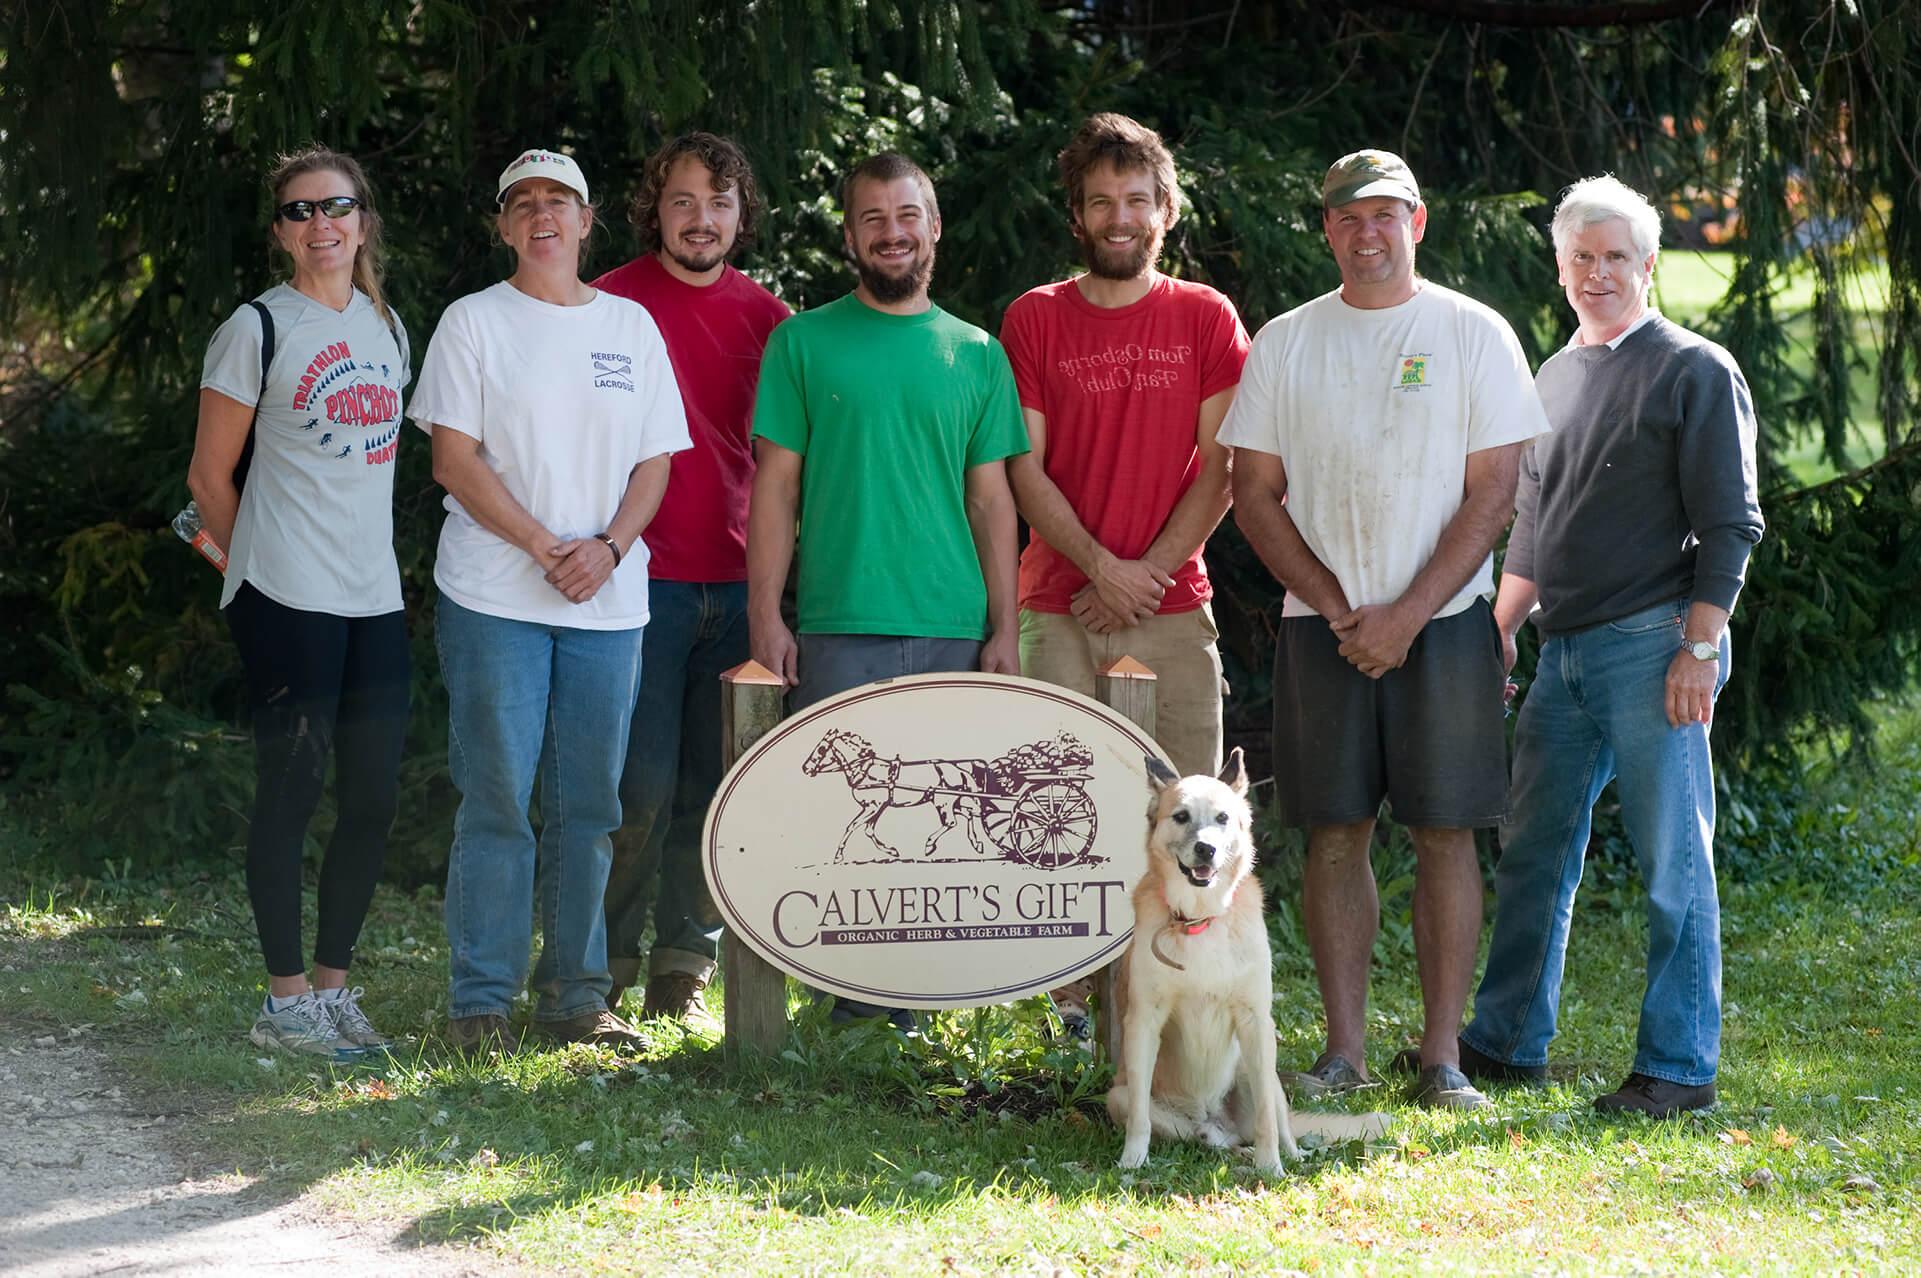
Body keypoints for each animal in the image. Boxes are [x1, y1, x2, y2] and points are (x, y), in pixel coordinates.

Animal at [1114, 749, 1383, 1176]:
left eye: (1222, 818)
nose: (1205, 849)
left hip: (1264, 1076)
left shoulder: (1256, 1023)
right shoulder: (1143, 1022)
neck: (1201, 918)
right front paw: (1131, 1161)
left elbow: (1266, 1122)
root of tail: (1212, 1117)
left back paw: (1287, 1156)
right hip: (1123, 1098)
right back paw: (1227, 1150)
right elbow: (1139, 1117)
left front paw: (1271, 1167)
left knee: (1273, 1126)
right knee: (1209, 1139)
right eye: (1181, 816)